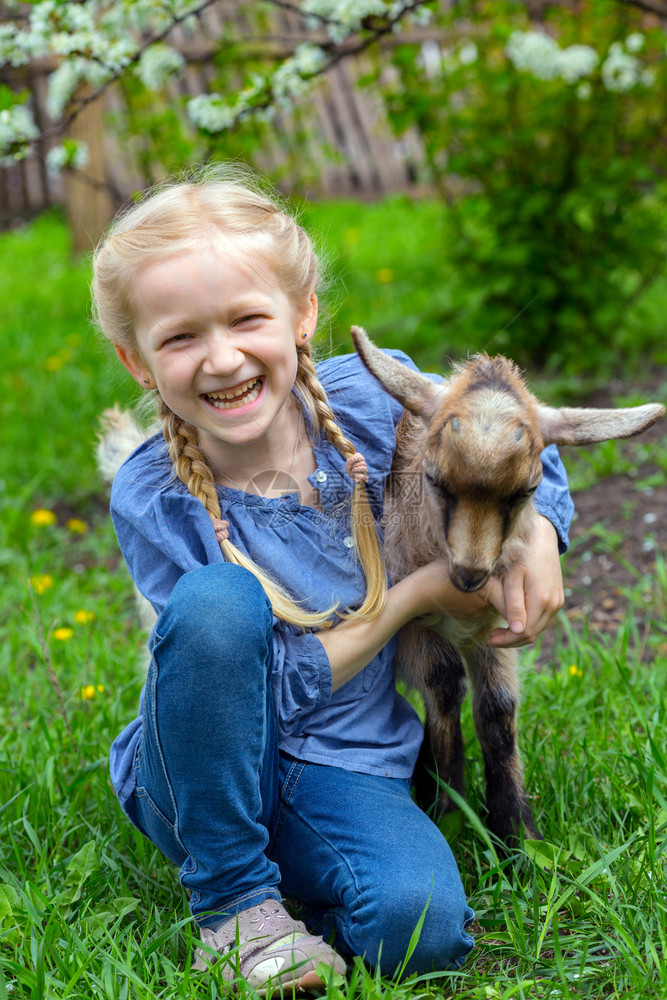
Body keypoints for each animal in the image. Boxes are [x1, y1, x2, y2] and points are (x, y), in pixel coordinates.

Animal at [352, 328, 664, 844]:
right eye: (434, 479)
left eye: (527, 490)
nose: (470, 574)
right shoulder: (411, 629)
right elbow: (444, 687)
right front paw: (451, 816)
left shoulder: (496, 629)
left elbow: (498, 710)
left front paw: (516, 834)